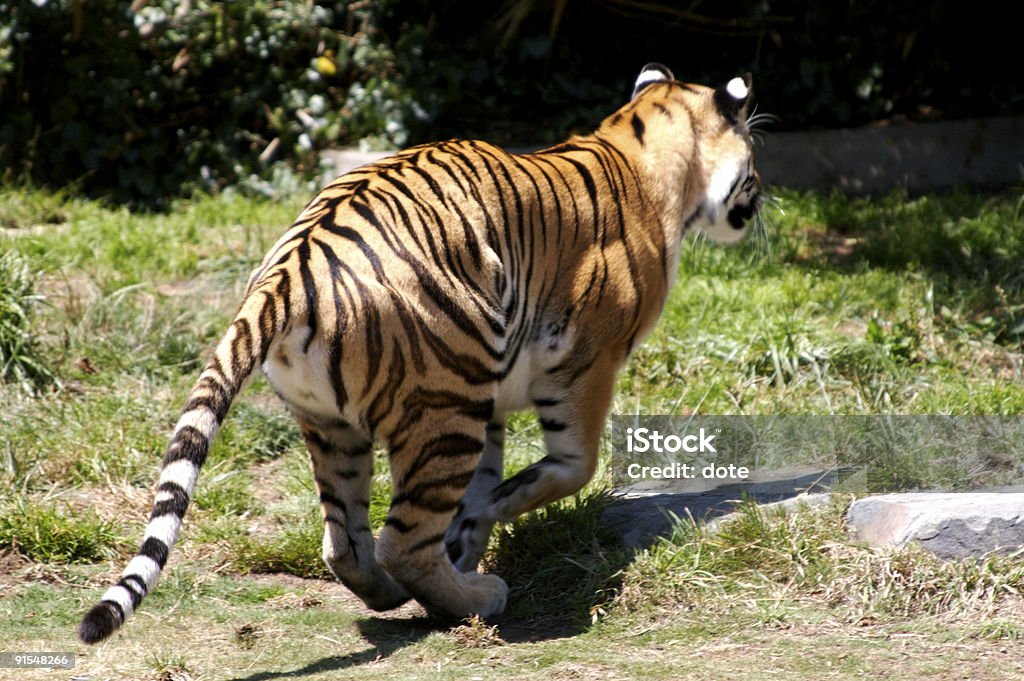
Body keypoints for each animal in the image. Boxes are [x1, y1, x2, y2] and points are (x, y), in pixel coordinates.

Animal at [77, 59, 761, 643]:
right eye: (755, 157)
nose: (759, 206)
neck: (640, 144)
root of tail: (289, 272)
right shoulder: (586, 361)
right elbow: (576, 465)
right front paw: (496, 517)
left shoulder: (496, 398)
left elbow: (484, 487)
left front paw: (471, 533)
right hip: (448, 402)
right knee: (399, 542)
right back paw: (478, 598)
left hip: (340, 423)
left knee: (348, 543)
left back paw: (399, 591)